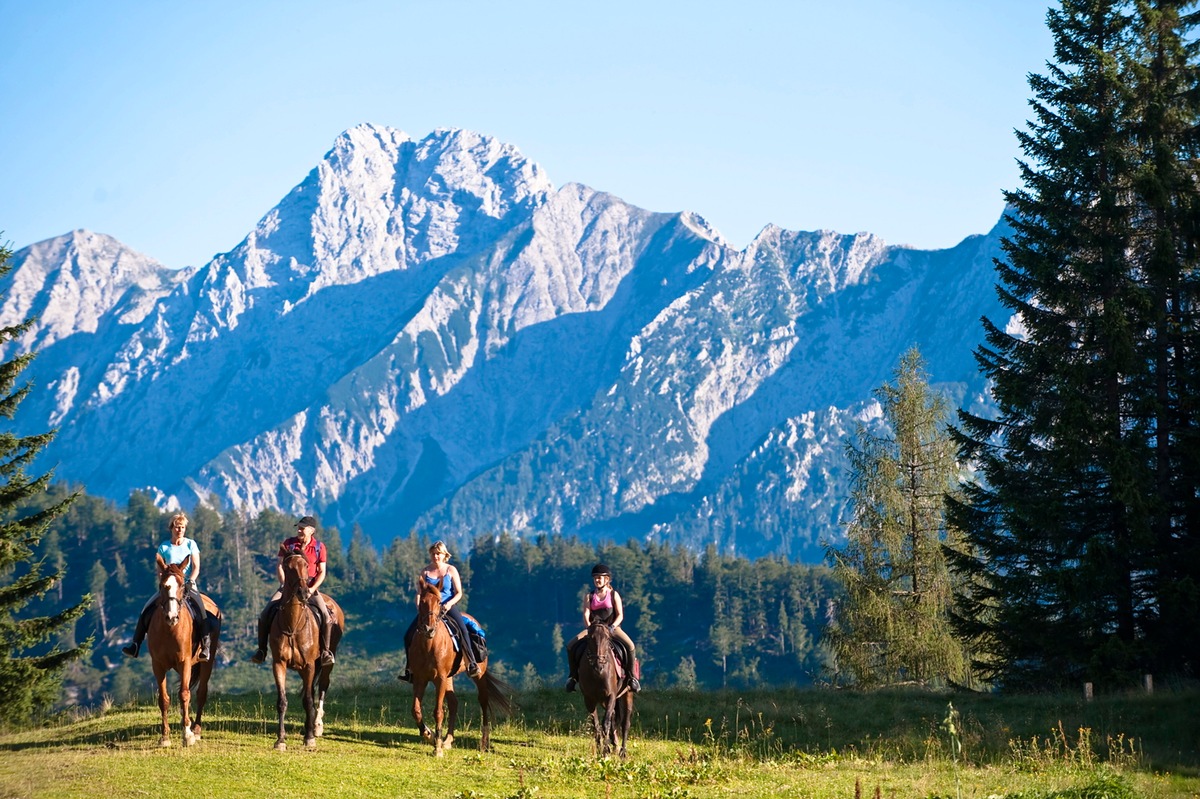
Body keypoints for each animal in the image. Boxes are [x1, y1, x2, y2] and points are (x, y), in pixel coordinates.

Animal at [146, 554, 224, 748]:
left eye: (182, 585)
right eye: (162, 585)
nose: (172, 617)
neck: (170, 630)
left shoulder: (185, 662)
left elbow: (184, 694)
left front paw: (187, 735)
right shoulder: (157, 665)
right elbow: (163, 699)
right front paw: (165, 737)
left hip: (207, 662)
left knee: (201, 692)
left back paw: (196, 729)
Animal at [270, 547, 345, 748]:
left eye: (305, 565)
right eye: (287, 567)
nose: (304, 592)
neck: (292, 625)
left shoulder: (309, 665)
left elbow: (308, 699)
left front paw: (310, 738)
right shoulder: (279, 664)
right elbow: (282, 701)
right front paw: (280, 740)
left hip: (326, 662)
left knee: (322, 687)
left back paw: (316, 726)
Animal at [408, 578, 511, 753]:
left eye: (439, 602)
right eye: (422, 602)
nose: (429, 629)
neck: (429, 646)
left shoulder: (440, 678)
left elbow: (438, 711)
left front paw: (437, 748)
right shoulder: (420, 679)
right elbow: (416, 710)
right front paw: (429, 735)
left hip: (478, 674)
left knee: (483, 701)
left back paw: (484, 742)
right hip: (449, 677)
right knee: (454, 703)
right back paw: (448, 740)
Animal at [576, 619, 633, 758]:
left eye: (607, 638)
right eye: (589, 638)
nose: (598, 664)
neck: (597, 674)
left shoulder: (611, 696)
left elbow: (605, 723)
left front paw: (605, 751)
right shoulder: (589, 699)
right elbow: (596, 725)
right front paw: (600, 748)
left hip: (627, 694)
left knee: (625, 723)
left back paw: (622, 752)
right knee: (613, 716)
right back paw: (615, 744)